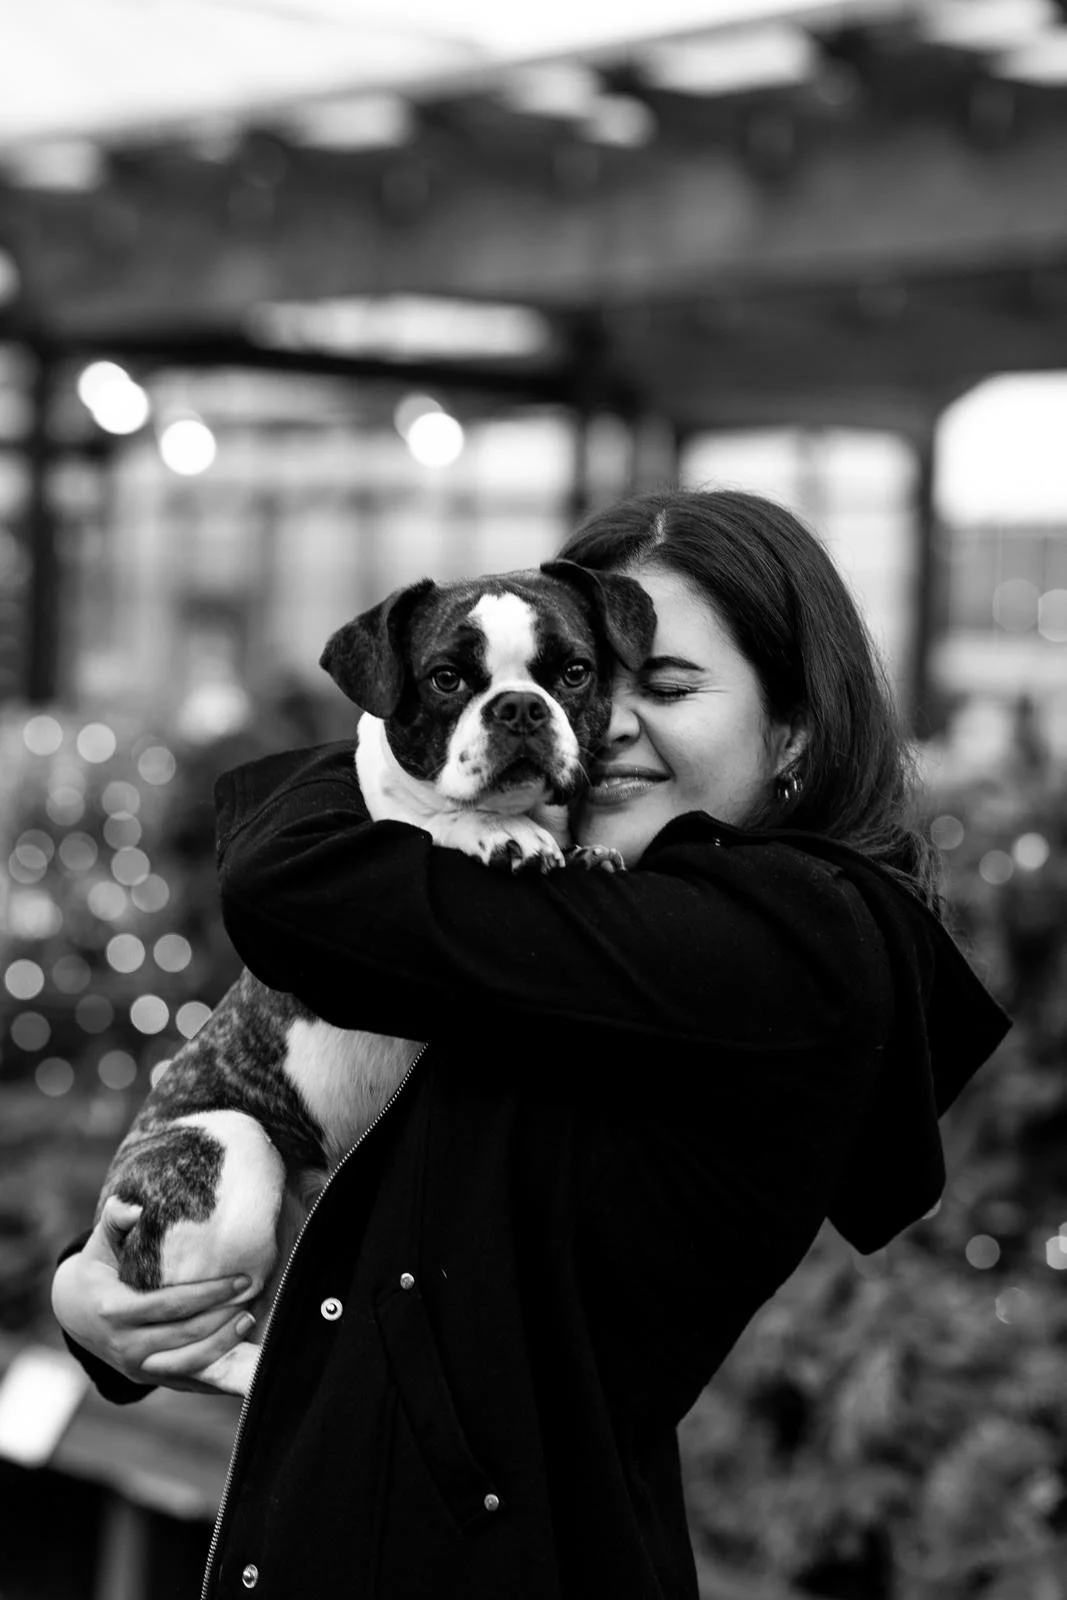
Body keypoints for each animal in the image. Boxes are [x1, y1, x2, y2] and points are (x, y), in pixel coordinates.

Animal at [95, 563, 655, 1388]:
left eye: (575, 672)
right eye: (446, 679)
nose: (519, 706)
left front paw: (587, 853)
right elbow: (424, 821)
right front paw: (499, 833)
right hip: (229, 1144)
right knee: (193, 1344)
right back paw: (251, 1368)